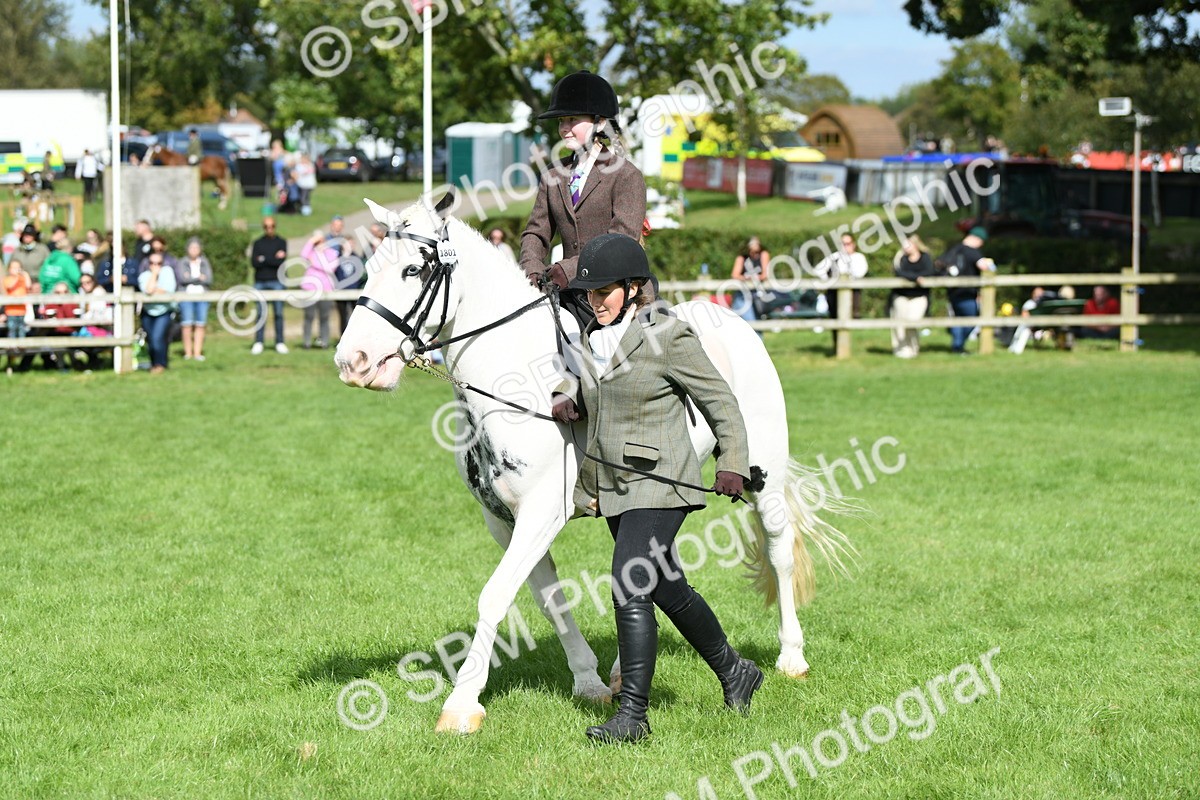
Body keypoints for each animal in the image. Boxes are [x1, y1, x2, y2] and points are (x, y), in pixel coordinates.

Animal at [334, 193, 853, 734]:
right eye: (368, 269)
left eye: (413, 270)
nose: (353, 363)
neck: (517, 384)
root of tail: (731, 319)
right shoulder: (503, 521)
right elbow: (549, 599)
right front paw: (587, 681)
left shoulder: (541, 513)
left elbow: (494, 595)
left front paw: (461, 703)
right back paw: (626, 671)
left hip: (761, 477)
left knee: (779, 551)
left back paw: (791, 657)